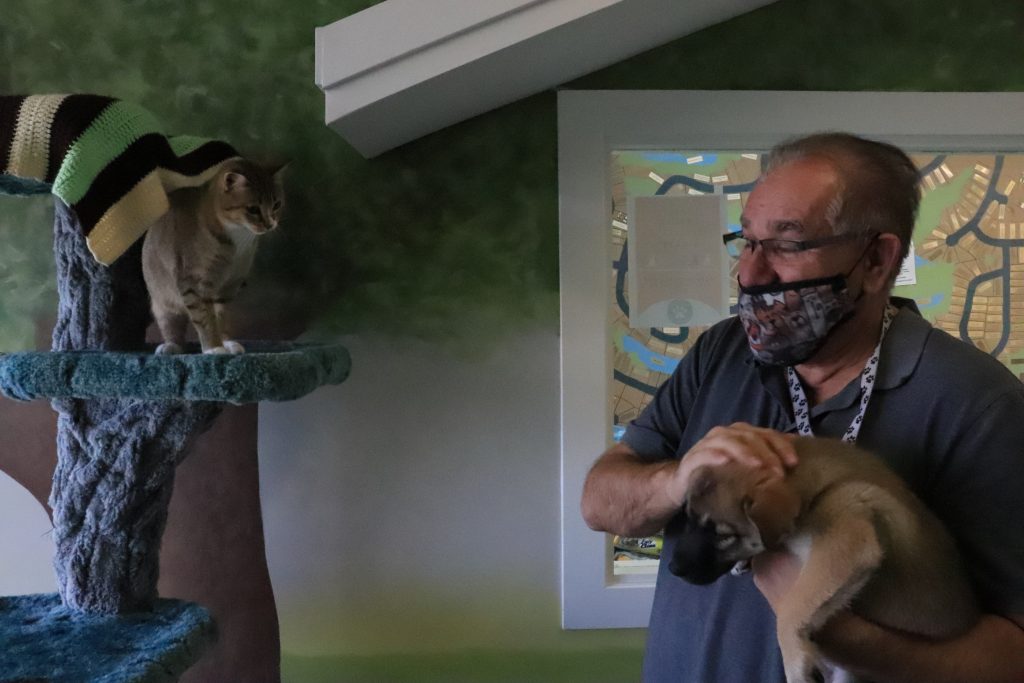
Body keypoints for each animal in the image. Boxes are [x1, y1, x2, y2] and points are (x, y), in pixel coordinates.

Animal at [141, 158, 284, 356]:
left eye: (276, 205)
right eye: (253, 209)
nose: (270, 224)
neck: (238, 240)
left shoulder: (228, 288)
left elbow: (220, 318)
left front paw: (225, 343)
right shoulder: (193, 284)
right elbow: (205, 320)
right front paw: (213, 347)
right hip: (162, 301)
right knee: (172, 326)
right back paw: (170, 346)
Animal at [667, 438, 978, 683]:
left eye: (723, 535)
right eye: (689, 518)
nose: (673, 568)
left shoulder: (847, 532)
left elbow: (792, 607)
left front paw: (794, 662)